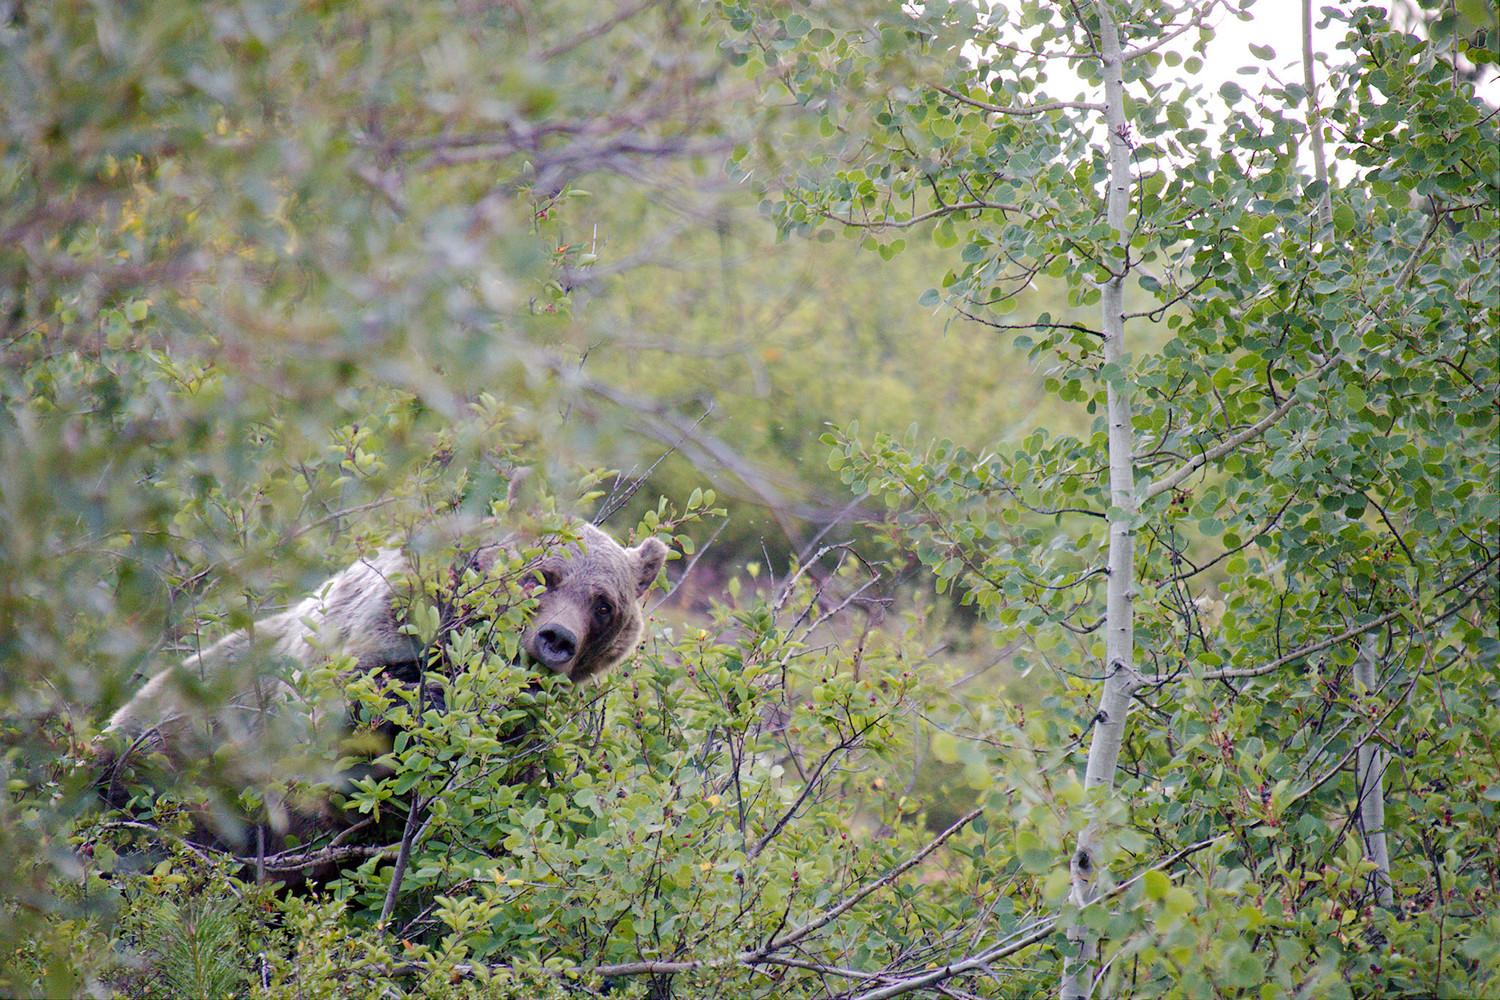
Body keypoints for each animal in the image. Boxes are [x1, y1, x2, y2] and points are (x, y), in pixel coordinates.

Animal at [97, 521, 667, 868]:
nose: (556, 640)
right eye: (543, 574)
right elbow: (358, 717)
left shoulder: (523, 733)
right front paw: (429, 705)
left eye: (603, 604)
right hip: (168, 764)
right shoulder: (387, 621)